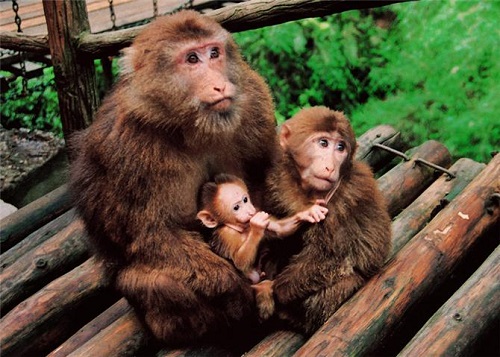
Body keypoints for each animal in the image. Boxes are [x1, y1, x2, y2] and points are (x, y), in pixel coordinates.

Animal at [70, 10, 280, 344]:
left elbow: (262, 172)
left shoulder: (253, 99)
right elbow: (151, 234)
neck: (191, 126)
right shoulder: (129, 147)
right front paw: (233, 289)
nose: (219, 85)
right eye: (192, 58)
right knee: (154, 282)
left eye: (214, 53)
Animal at [195, 173, 328, 284]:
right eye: (236, 207)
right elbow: (240, 262)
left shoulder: (258, 211)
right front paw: (257, 227)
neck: (242, 228)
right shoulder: (227, 234)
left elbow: (280, 230)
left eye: (245, 200)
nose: (250, 211)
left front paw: (309, 212)